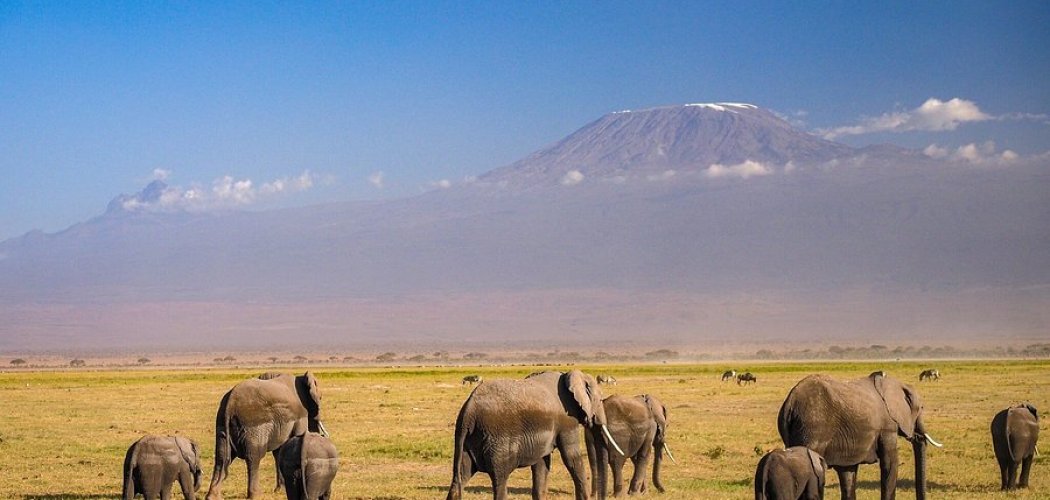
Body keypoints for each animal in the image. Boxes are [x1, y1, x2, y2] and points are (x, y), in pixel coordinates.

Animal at [207, 372, 329, 500]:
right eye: (321, 398)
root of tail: (230, 403)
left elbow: (280, 452)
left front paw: (280, 490)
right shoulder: (300, 415)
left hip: (221, 423)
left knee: (222, 457)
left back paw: (212, 496)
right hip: (254, 426)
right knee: (254, 457)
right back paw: (256, 495)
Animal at [445, 369, 625, 500]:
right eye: (600, 400)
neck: (568, 375)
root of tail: (468, 411)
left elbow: (541, 464)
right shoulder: (567, 419)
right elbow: (571, 458)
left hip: (468, 440)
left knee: (460, 477)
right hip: (496, 438)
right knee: (500, 479)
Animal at [777, 372, 942, 500]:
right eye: (921, 408)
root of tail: (789, 403)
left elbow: (848, 473)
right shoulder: (887, 426)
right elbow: (890, 463)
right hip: (812, 427)